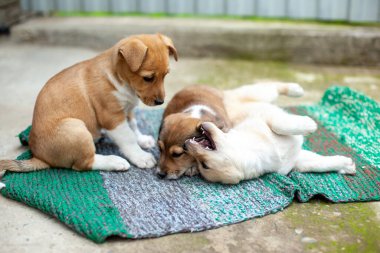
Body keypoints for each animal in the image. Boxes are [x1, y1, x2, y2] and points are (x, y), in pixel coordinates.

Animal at [0, 33, 178, 174]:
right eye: (148, 78)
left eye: (166, 75)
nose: (160, 102)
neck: (119, 78)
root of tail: (39, 157)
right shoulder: (112, 117)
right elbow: (128, 137)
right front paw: (140, 156)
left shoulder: (128, 110)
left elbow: (133, 126)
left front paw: (142, 140)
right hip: (76, 128)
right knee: (83, 164)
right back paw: (114, 161)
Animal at [185, 85, 356, 184]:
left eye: (204, 165)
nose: (186, 144)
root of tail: (222, 95)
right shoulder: (297, 161)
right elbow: (318, 164)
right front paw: (345, 165)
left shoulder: (266, 117)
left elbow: (280, 125)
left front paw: (309, 124)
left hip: (259, 94)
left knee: (273, 86)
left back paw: (296, 89)